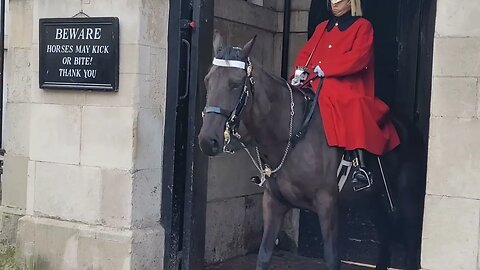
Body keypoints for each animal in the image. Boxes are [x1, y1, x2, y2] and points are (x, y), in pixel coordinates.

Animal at [197, 34, 426, 270]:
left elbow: (332, 258)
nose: (207, 140)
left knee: (411, 246)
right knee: (386, 233)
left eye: (235, 84)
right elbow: (263, 255)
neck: (291, 135)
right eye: (207, 81)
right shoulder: (274, 203)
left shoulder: (327, 205)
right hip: (371, 200)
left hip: (408, 200)